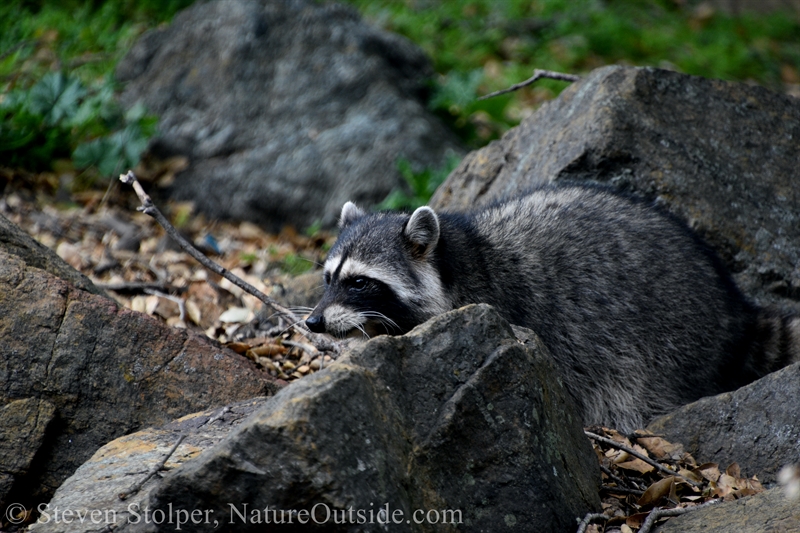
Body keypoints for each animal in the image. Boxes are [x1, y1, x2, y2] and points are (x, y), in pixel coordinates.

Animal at [306, 183, 799, 430]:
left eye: (360, 283)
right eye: (329, 278)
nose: (312, 322)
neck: (462, 256)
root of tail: (734, 312)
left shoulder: (500, 309)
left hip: (669, 343)